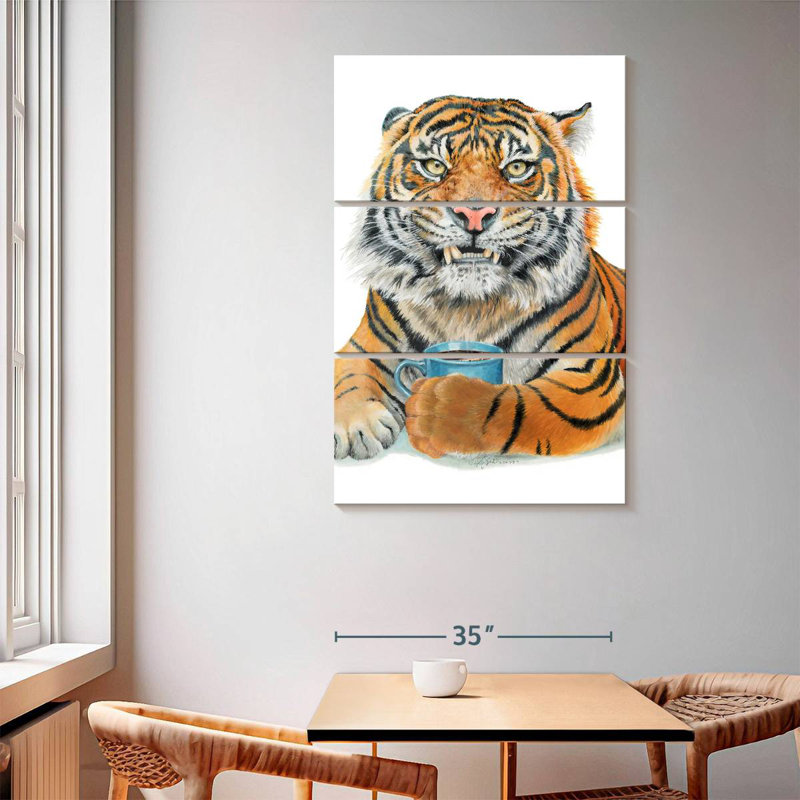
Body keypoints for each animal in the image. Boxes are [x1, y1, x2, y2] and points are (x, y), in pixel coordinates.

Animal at [334, 95, 625, 461]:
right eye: (434, 166)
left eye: (516, 168)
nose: (474, 214)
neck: (467, 307)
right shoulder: (366, 344)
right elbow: (350, 375)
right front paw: (356, 426)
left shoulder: (589, 376)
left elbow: (513, 406)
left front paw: (438, 409)